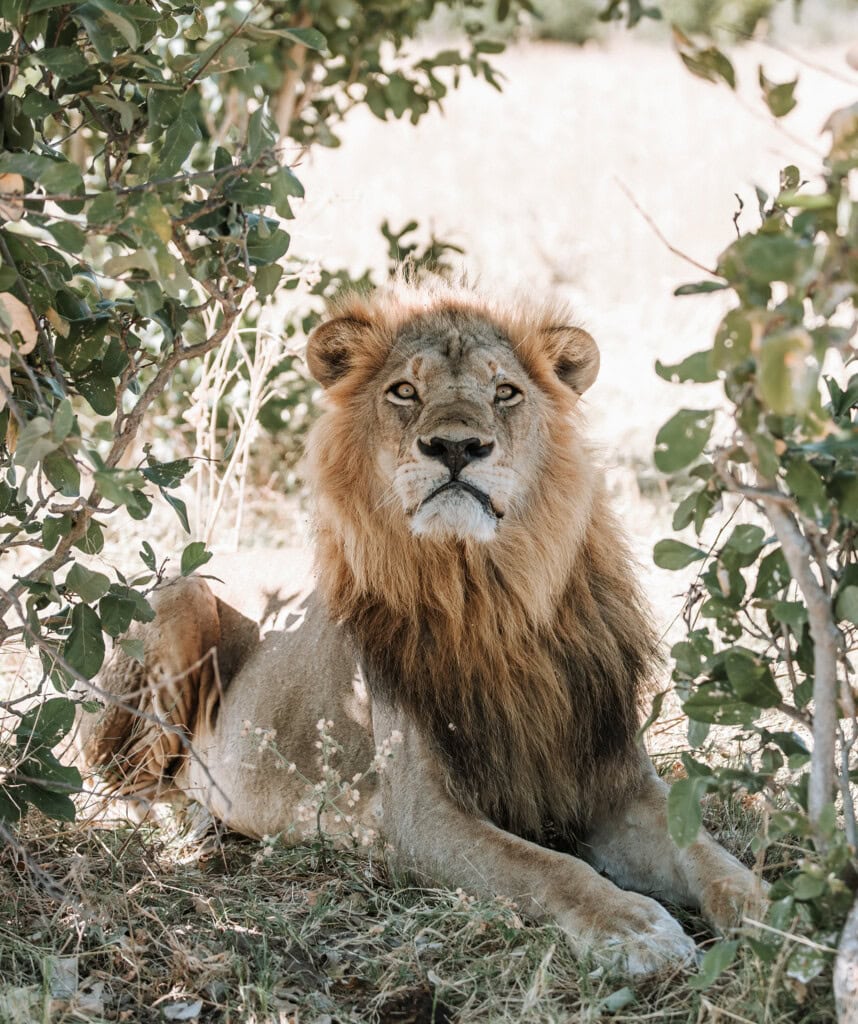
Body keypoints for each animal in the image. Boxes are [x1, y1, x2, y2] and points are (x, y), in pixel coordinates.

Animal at [79, 280, 764, 977]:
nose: (457, 448)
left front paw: (773, 915)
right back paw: (196, 813)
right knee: (119, 786)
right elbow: (549, 867)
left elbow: (708, 853)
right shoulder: (421, 818)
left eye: (505, 392)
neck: (488, 595)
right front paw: (633, 926)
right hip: (179, 595)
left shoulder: (617, 779)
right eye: (405, 391)